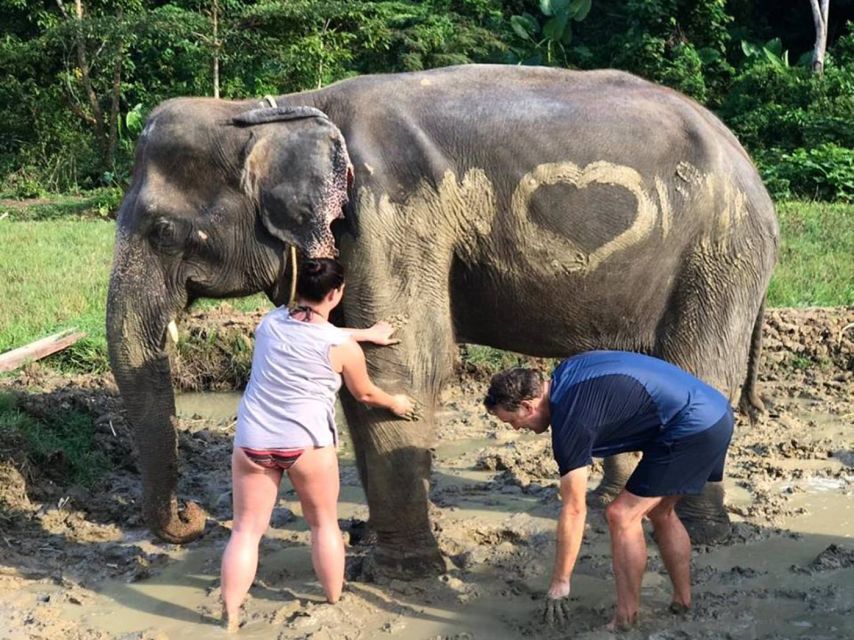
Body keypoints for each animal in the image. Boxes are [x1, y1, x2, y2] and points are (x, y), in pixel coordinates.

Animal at [105, 63, 776, 576]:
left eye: (162, 232)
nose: (192, 520)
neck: (276, 111)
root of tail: (746, 160)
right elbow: (359, 374)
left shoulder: (389, 214)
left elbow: (401, 364)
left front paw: (402, 575)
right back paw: (621, 503)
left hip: (720, 253)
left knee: (700, 372)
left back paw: (697, 532)